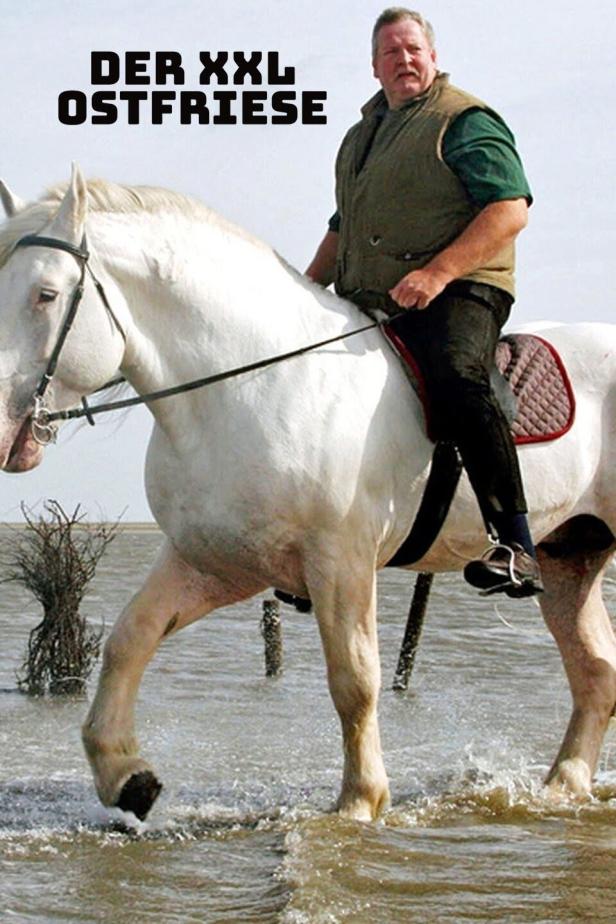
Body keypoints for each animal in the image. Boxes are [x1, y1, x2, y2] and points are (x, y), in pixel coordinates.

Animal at [1, 165, 615, 823]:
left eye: (46, 295)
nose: (6, 432)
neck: (256, 385)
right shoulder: (212, 562)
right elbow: (128, 640)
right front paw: (126, 776)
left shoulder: (341, 562)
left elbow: (354, 679)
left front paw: (359, 802)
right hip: (571, 559)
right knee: (596, 673)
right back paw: (564, 785)